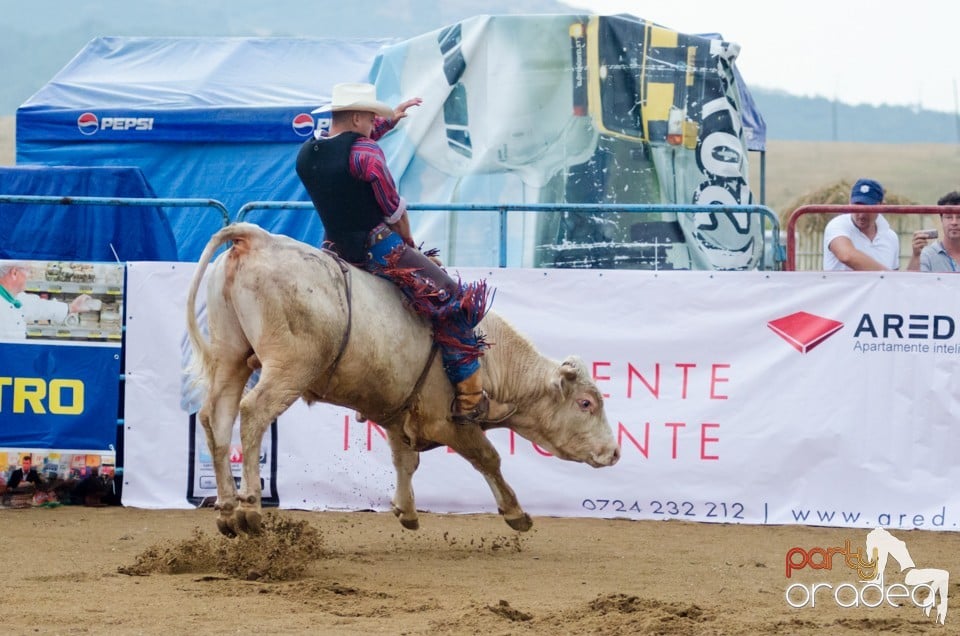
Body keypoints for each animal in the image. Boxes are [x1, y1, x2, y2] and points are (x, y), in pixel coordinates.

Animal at [186, 224, 624, 536]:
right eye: (586, 403)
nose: (616, 452)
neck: (492, 361)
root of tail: (256, 239)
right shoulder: (447, 421)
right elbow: (488, 458)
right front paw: (516, 512)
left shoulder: (397, 416)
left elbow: (404, 460)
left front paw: (406, 510)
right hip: (288, 368)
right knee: (252, 412)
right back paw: (250, 507)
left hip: (231, 358)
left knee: (216, 419)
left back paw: (227, 510)